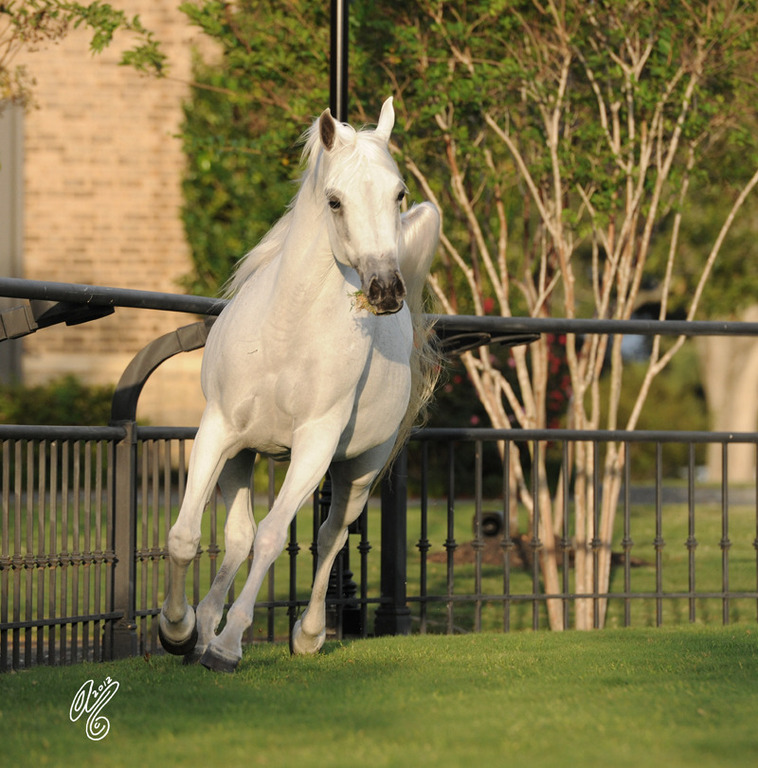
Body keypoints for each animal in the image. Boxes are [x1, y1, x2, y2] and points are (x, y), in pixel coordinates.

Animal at [158, 97, 441, 672]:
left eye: (399, 193)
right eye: (335, 200)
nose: (385, 289)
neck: (285, 334)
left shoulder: (315, 446)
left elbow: (275, 538)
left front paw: (227, 645)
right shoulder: (218, 431)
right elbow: (187, 535)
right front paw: (178, 629)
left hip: (358, 469)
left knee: (331, 536)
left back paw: (307, 634)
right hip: (242, 456)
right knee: (238, 537)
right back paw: (203, 624)